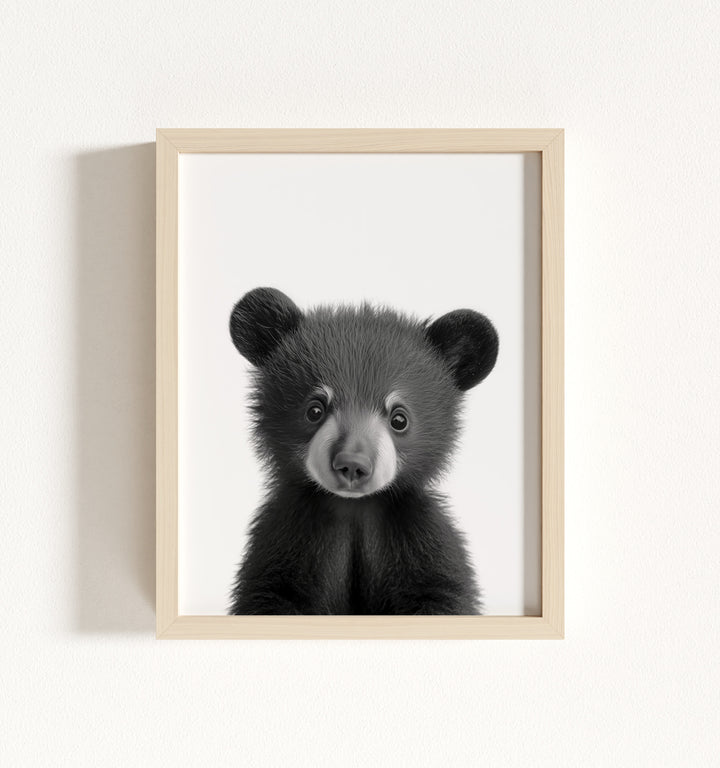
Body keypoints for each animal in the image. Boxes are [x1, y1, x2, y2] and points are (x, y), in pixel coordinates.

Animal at [227, 287, 499, 615]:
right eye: (315, 410)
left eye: (399, 419)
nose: (352, 465)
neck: (354, 508)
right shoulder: (288, 536)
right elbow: (272, 592)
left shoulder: (415, 533)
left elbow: (442, 590)